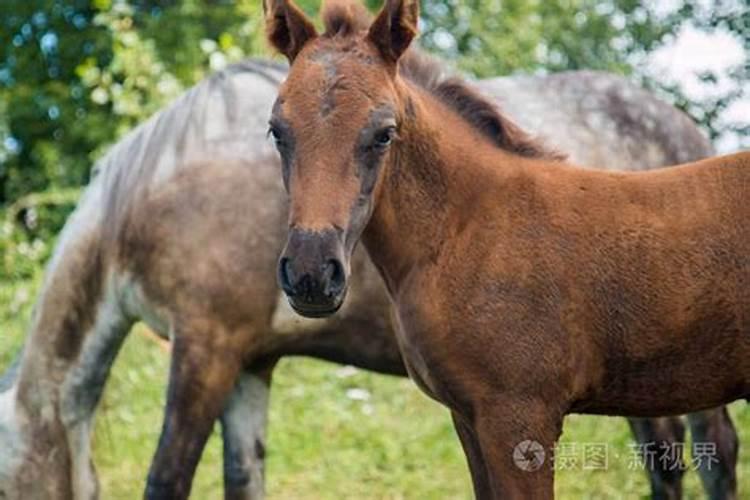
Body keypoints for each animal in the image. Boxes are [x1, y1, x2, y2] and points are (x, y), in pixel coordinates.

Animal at [0, 59, 740, 500]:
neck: (153, 191)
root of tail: (683, 127)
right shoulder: (249, 364)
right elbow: (244, 476)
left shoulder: (205, 346)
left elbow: (167, 478)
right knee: (665, 457)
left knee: (714, 452)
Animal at [268, 0, 748, 498]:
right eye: (277, 131)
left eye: (383, 132)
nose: (311, 275)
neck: (466, 231)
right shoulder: (468, 417)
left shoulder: (519, 416)